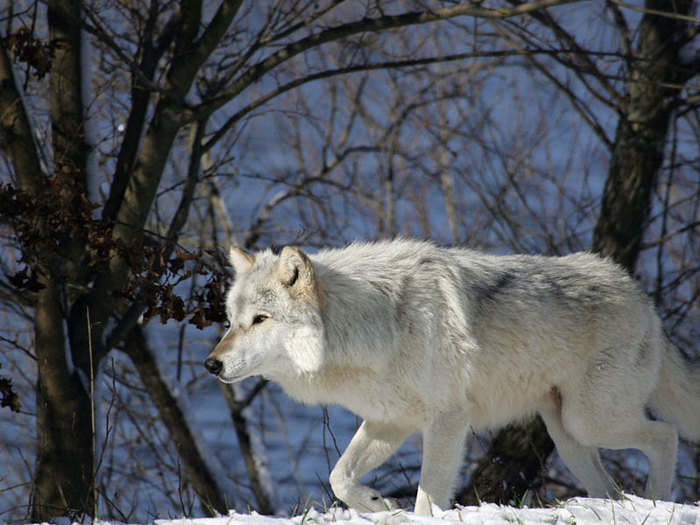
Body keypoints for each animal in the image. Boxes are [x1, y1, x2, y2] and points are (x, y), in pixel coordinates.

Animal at [205, 239, 700, 512]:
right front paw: (377, 504)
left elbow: (428, 498)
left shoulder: (447, 420)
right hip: (569, 438)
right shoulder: (390, 422)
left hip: (591, 421)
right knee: (611, 485)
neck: (374, 323)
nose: (212, 364)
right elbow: (339, 477)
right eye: (230, 320)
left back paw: (658, 498)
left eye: (261, 320)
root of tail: (643, 296)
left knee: (666, 436)